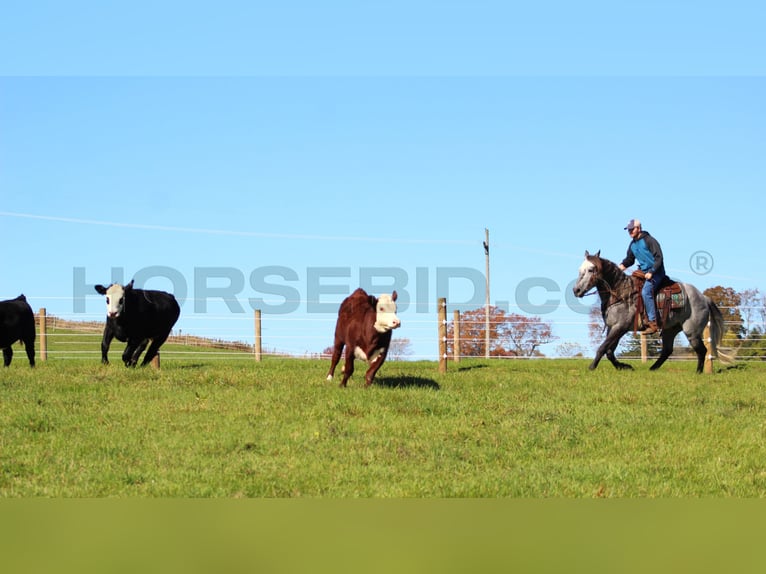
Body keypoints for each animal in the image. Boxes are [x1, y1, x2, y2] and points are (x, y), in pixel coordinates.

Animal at [572, 251, 728, 376]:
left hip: (692, 332)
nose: (576, 290)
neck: (621, 293)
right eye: (580, 270)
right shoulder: (613, 327)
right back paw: (653, 368)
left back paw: (698, 372)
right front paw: (625, 366)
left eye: (591, 269)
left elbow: (603, 348)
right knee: (667, 350)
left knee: (701, 351)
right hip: (670, 330)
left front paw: (592, 367)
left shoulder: (620, 327)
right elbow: (609, 352)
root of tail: (704, 298)